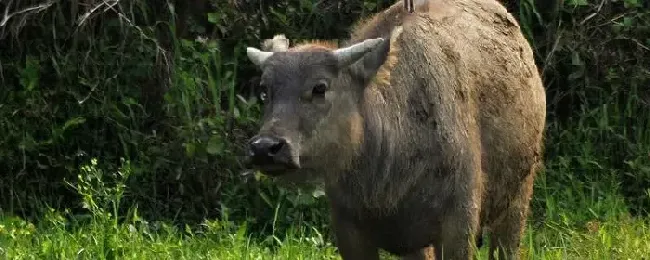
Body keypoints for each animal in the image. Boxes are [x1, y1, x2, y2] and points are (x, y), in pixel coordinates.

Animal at [242, 0, 540, 258]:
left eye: (320, 87)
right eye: (265, 90)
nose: (265, 148)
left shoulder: (460, 221)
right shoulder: (349, 228)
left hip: (518, 198)